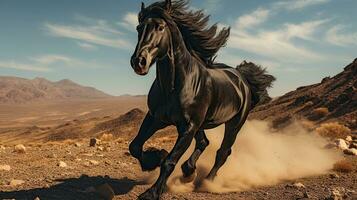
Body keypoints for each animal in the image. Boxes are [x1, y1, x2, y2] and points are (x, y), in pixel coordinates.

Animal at [129, 0, 274, 199]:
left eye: (160, 27)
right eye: (138, 28)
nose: (139, 61)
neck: (174, 85)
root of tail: (241, 78)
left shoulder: (187, 127)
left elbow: (169, 161)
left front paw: (152, 192)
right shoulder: (156, 118)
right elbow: (135, 146)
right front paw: (154, 159)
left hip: (234, 124)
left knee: (223, 152)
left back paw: (207, 182)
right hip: (201, 124)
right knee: (204, 142)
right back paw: (188, 172)